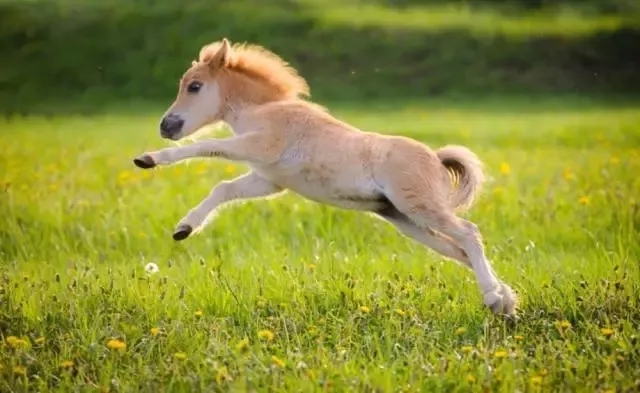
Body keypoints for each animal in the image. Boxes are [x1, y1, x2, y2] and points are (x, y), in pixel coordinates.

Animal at [132, 37, 516, 316]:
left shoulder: (258, 146)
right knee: (459, 250)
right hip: (403, 218)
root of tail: (435, 158)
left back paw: (493, 298)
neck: (265, 109)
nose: (166, 126)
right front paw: (183, 228)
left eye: (195, 86)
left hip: (419, 206)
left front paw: (147, 159)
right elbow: (223, 188)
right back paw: (506, 301)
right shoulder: (269, 179)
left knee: (469, 234)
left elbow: (206, 145)